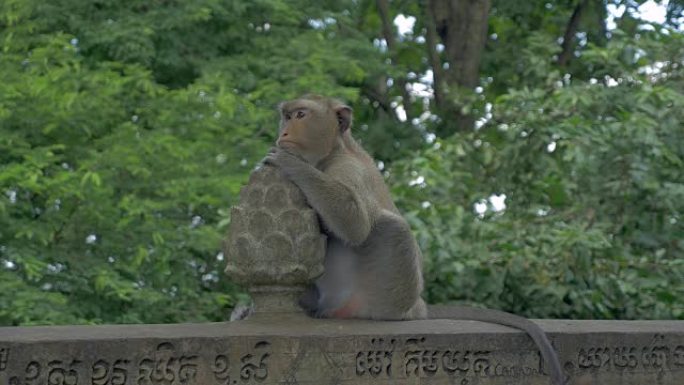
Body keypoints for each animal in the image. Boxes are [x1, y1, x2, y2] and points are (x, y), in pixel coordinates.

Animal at [264, 94, 564, 384]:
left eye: (301, 114)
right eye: (286, 116)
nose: (285, 131)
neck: (332, 151)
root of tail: (415, 306)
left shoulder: (348, 168)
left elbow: (355, 223)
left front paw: (290, 161)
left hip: (385, 294)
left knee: (392, 228)